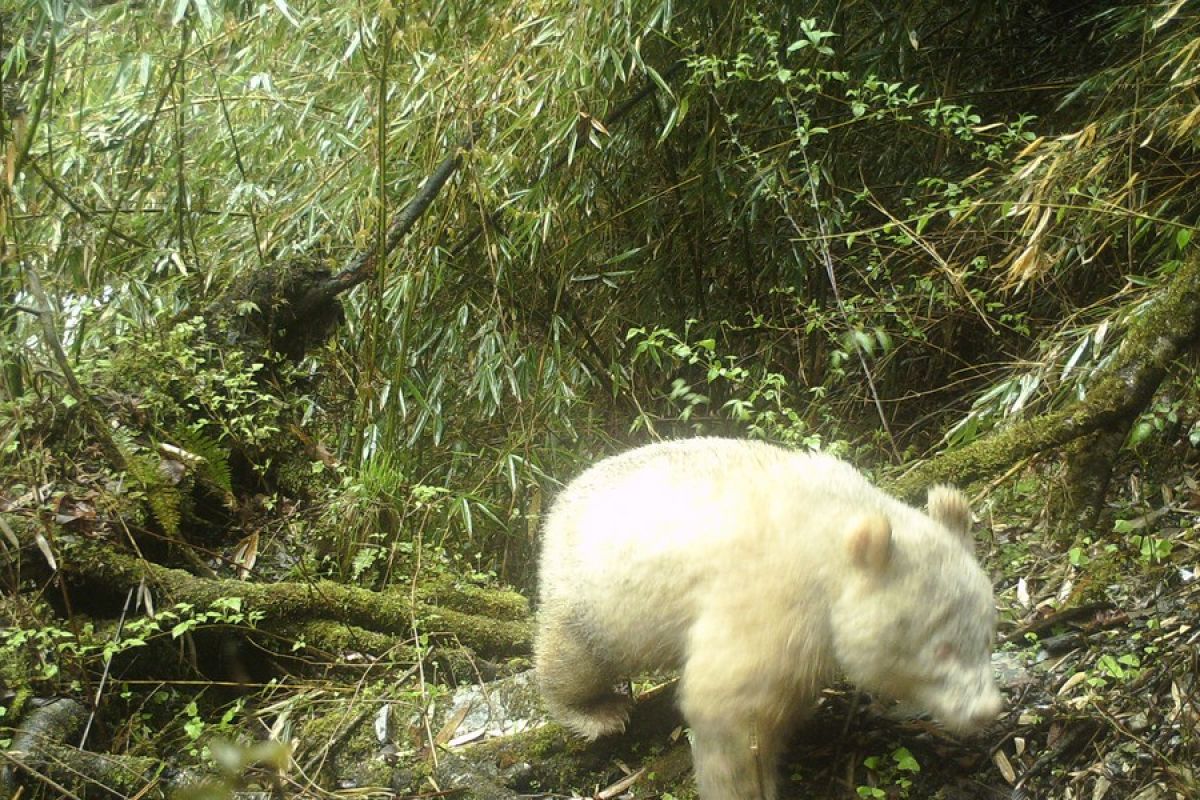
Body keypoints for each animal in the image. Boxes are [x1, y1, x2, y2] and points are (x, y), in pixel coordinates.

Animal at [535, 438, 1003, 800]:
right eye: (941, 649)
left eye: (987, 638)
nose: (986, 710)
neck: (834, 534)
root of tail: (561, 499)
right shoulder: (772, 596)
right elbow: (728, 705)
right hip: (594, 594)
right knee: (575, 657)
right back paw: (597, 712)